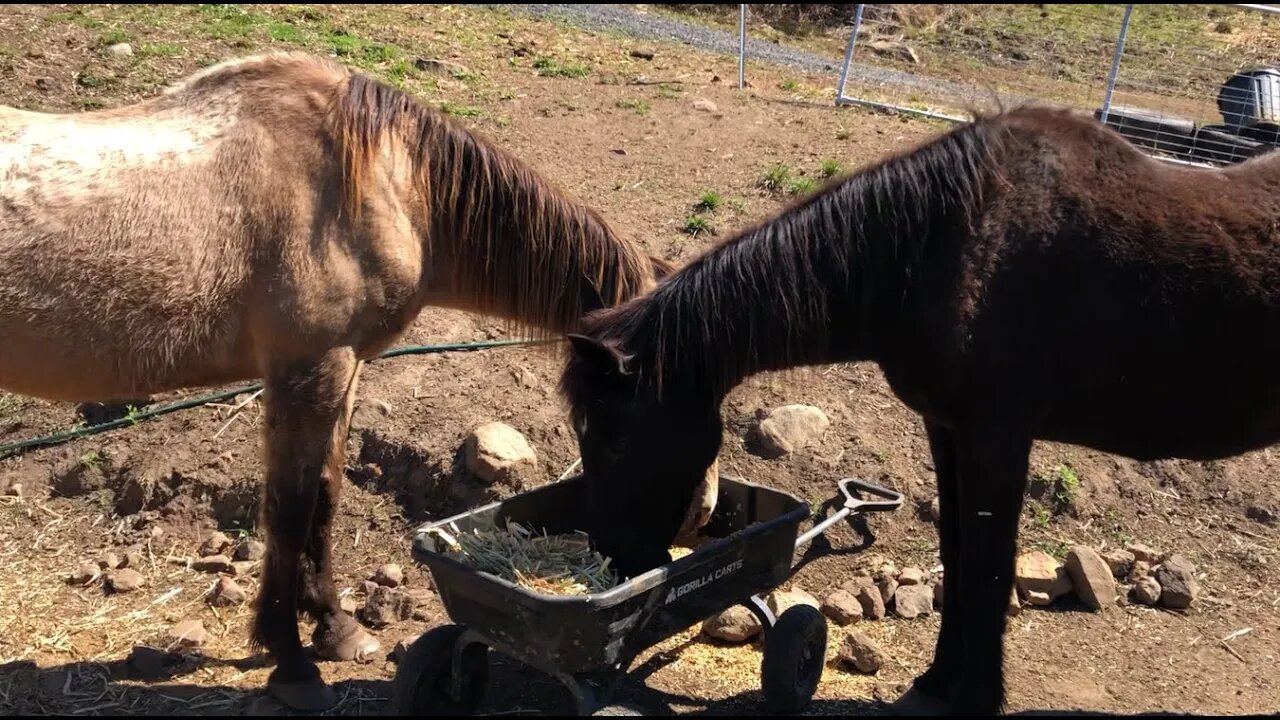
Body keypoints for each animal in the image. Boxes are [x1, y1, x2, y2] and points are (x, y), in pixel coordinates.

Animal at [0, 53, 716, 707]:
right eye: (655, 421)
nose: (698, 521)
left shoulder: (345, 370)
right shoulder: (309, 371)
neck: (388, 186)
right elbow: (289, 512)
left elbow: (324, 495)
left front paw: (334, 627)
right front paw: (291, 662)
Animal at [558, 103, 1280, 712]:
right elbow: (957, 555)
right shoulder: (948, 429)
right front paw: (939, 678)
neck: (950, 246)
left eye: (614, 438)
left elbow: (988, 567)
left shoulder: (997, 436)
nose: (609, 558)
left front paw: (978, 697)